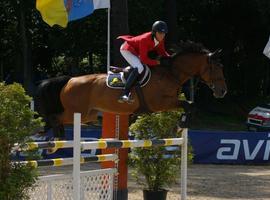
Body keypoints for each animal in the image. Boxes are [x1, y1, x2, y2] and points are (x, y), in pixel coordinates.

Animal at [34, 40, 227, 138]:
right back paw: (55, 137)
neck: (171, 73)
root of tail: (70, 80)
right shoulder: (160, 103)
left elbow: (191, 104)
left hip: (88, 114)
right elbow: (188, 104)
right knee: (55, 117)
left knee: (58, 119)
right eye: (217, 68)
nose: (223, 91)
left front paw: (182, 124)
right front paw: (181, 124)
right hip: (76, 112)